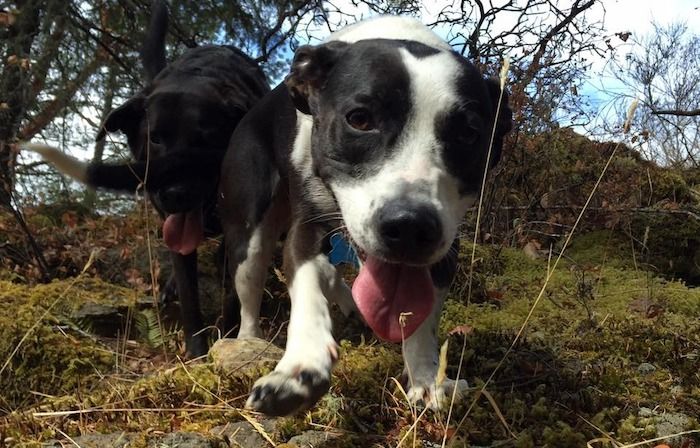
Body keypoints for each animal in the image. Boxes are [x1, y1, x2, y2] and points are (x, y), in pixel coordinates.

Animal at [24, 0, 268, 356]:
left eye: (207, 139)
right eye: (155, 139)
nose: (174, 193)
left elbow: (236, 290)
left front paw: (230, 335)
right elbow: (191, 298)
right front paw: (197, 352)